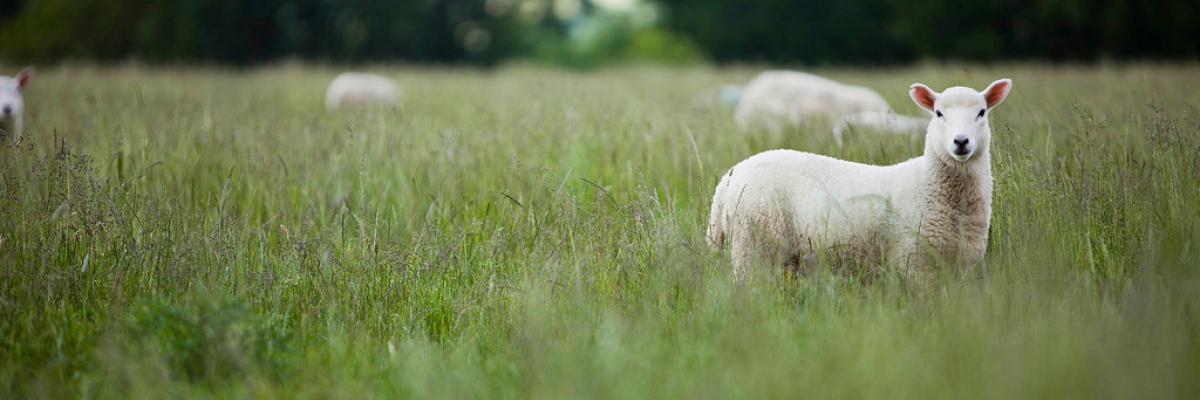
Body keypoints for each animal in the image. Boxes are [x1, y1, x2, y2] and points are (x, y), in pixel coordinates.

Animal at [705, 79, 1017, 282]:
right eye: (938, 113)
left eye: (982, 112)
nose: (961, 142)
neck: (928, 184)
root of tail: (729, 177)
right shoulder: (914, 262)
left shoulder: (960, 265)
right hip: (752, 245)